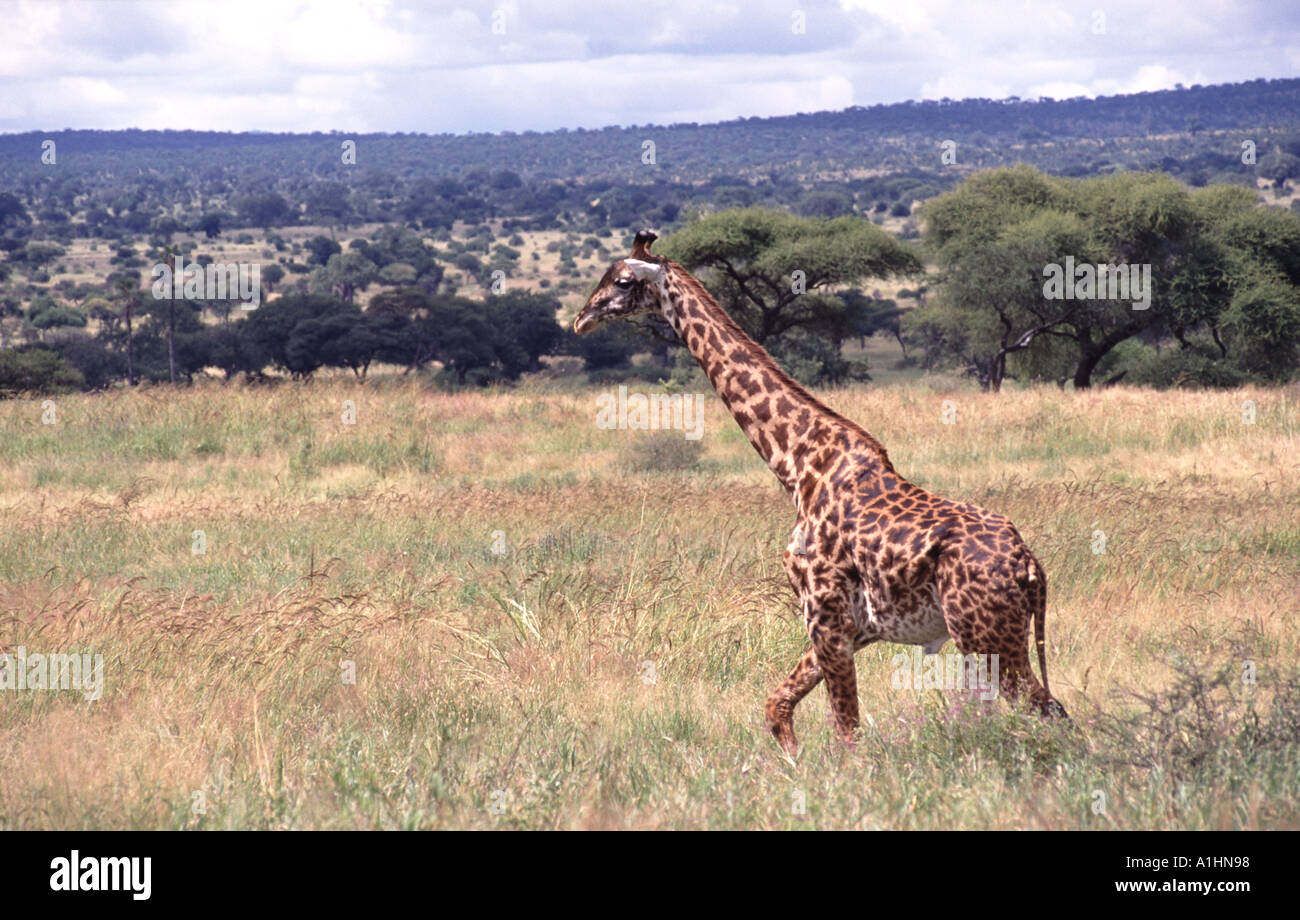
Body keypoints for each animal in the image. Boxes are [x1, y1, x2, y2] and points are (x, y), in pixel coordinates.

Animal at [575, 230, 1069, 756]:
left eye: (623, 282)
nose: (580, 318)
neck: (796, 467)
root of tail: (1028, 565)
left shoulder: (824, 613)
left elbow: (846, 732)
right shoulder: (852, 627)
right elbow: (777, 706)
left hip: (986, 636)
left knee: (1048, 712)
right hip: (992, 638)